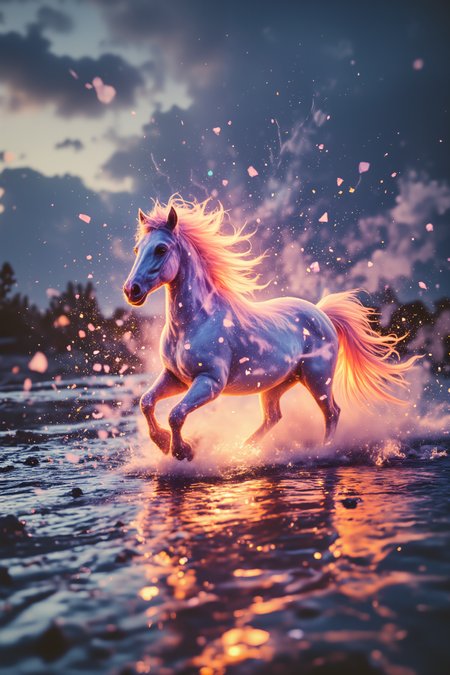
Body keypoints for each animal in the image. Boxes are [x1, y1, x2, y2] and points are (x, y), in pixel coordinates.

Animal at [123, 196, 420, 461]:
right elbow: (147, 402)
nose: (131, 290)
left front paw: (182, 451)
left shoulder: (209, 381)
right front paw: (163, 443)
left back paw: (322, 451)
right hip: (277, 384)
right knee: (273, 417)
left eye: (161, 249)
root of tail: (321, 313)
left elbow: (176, 414)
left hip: (318, 379)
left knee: (332, 412)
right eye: (137, 249)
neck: (194, 323)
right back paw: (244, 451)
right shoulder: (175, 377)